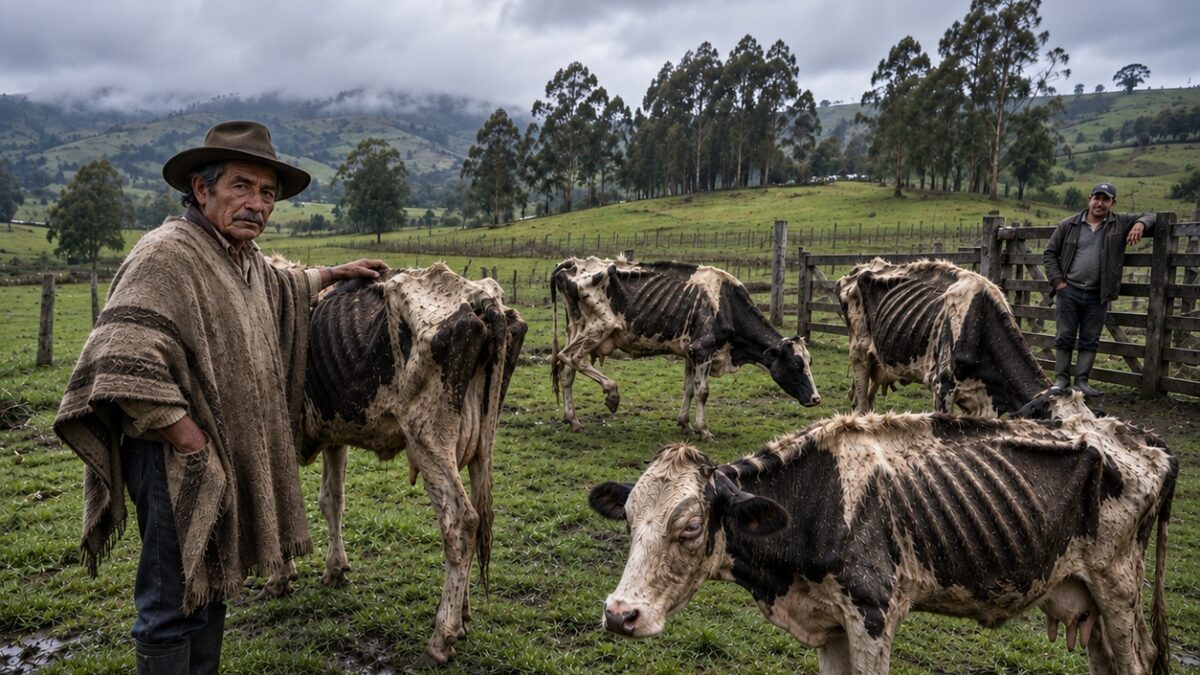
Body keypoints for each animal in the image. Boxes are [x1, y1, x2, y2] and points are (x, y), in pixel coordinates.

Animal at [261, 262, 526, 666]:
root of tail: (483, 300)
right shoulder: (335, 435)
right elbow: (331, 502)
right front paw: (335, 569)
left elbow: (283, 512)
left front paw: (279, 578)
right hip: (482, 442)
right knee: (479, 519)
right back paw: (462, 616)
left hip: (428, 437)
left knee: (462, 522)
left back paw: (441, 637)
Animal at [551, 257, 820, 440]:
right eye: (795, 365)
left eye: (809, 362)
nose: (816, 398)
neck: (726, 303)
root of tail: (571, 263)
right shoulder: (704, 350)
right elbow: (702, 392)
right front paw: (704, 430)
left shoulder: (691, 354)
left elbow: (689, 390)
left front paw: (685, 424)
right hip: (599, 327)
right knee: (569, 357)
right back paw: (612, 394)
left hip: (576, 329)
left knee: (567, 372)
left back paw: (573, 419)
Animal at [589, 410, 1176, 674]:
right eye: (629, 520)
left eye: (689, 528)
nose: (620, 614)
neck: (815, 503)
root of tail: (1140, 437)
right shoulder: (829, 626)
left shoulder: (873, 614)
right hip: (1089, 599)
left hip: (1119, 590)